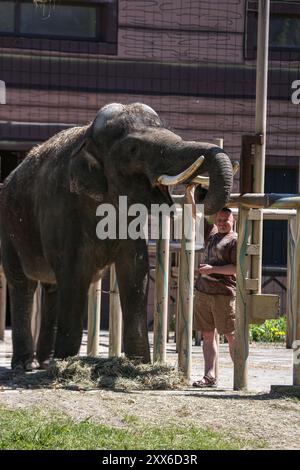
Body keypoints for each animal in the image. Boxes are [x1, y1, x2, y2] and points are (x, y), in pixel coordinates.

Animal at [0, 103, 233, 370]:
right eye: (133, 149)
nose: (201, 190)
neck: (86, 139)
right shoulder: (63, 211)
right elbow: (74, 274)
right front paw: (66, 364)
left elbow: (135, 271)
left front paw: (138, 365)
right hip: (9, 228)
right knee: (23, 284)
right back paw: (26, 365)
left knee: (51, 287)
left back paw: (46, 363)